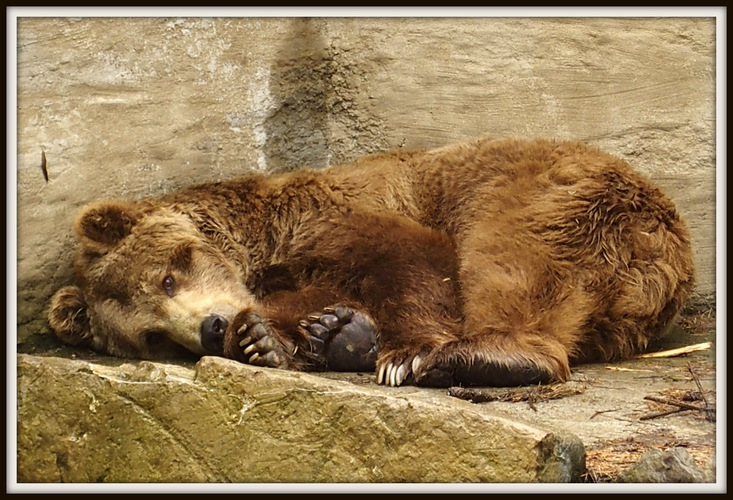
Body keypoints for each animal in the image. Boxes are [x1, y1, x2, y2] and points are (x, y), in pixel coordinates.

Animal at [47, 137, 692, 386]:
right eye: (152, 338)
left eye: (167, 275)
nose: (209, 328)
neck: (258, 243)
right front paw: (286, 337)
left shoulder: (333, 214)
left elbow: (409, 258)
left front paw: (399, 352)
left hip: (553, 198)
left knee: (509, 262)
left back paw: (470, 356)